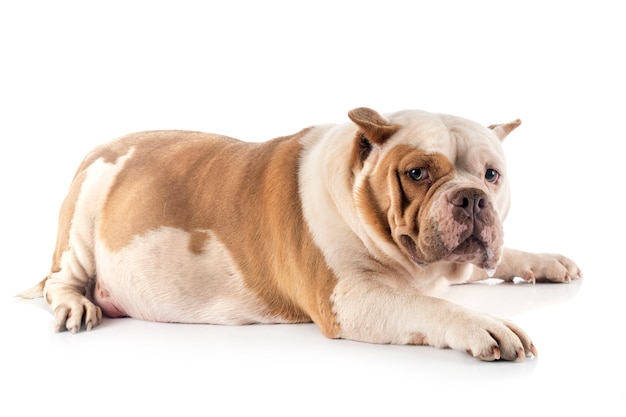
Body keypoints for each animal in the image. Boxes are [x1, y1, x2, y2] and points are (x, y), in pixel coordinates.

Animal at [20, 107, 580, 360]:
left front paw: (547, 261)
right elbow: (432, 308)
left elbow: (495, 260)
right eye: (418, 173)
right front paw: (484, 325)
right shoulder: (351, 299)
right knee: (59, 280)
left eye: (492, 175)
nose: (470, 197)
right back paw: (76, 305)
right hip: (85, 210)